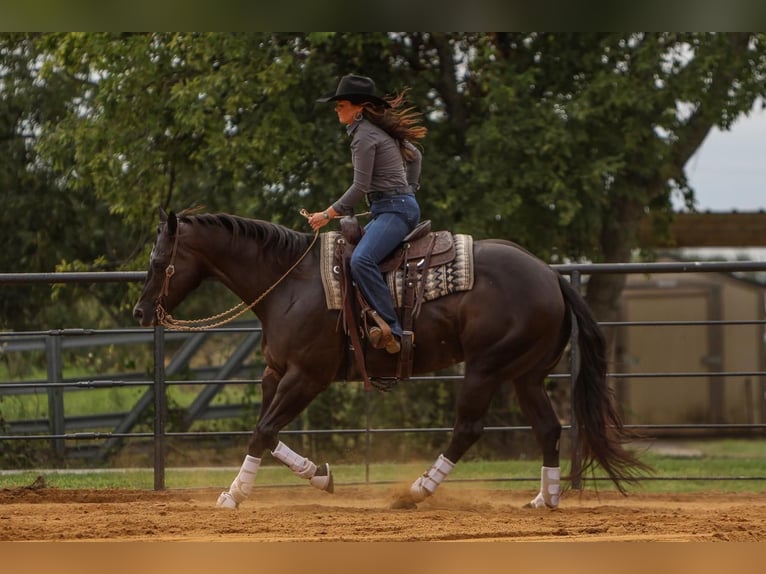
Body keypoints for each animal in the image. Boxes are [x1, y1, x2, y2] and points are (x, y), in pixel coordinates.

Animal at [134, 209, 648, 510]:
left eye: (159, 262)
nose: (140, 312)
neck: (290, 285)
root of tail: (552, 276)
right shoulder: (274, 373)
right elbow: (269, 430)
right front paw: (320, 476)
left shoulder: (306, 377)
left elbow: (262, 430)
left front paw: (234, 494)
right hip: (526, 375)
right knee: (548, 428)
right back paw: (546, 498)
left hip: (486, 368)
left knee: (468, 428)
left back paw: (416, 491)